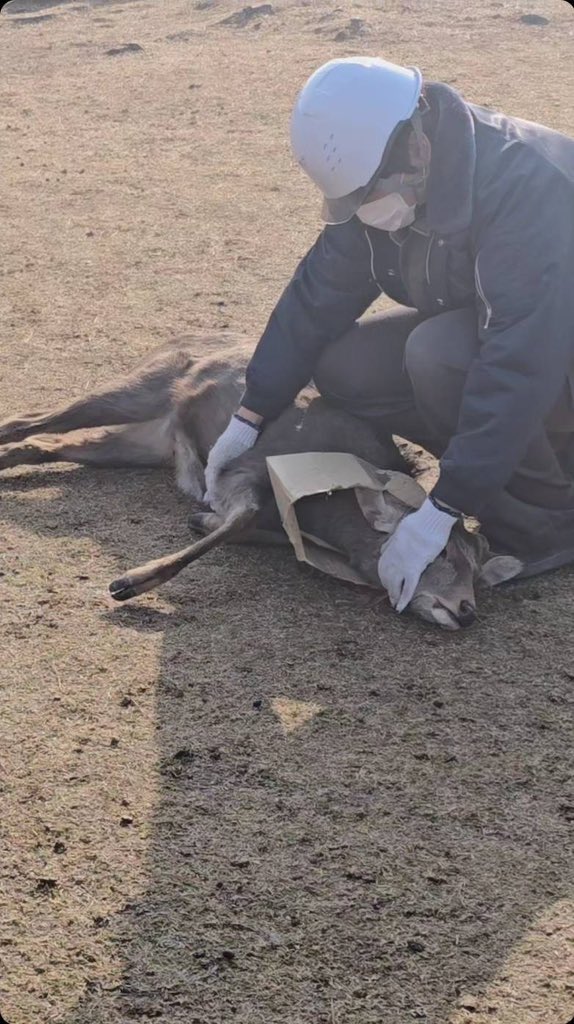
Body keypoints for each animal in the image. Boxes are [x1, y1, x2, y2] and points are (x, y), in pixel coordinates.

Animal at [0, 333, 522, 630]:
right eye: (444, 554)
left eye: (479, 574)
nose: (467, 610)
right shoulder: (246, 469)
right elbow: (243, 515)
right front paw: (128, 582)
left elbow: (246, 528)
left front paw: (199, 521)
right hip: (137, 390)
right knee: (35, 419)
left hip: (141, 444)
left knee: (48, 443)